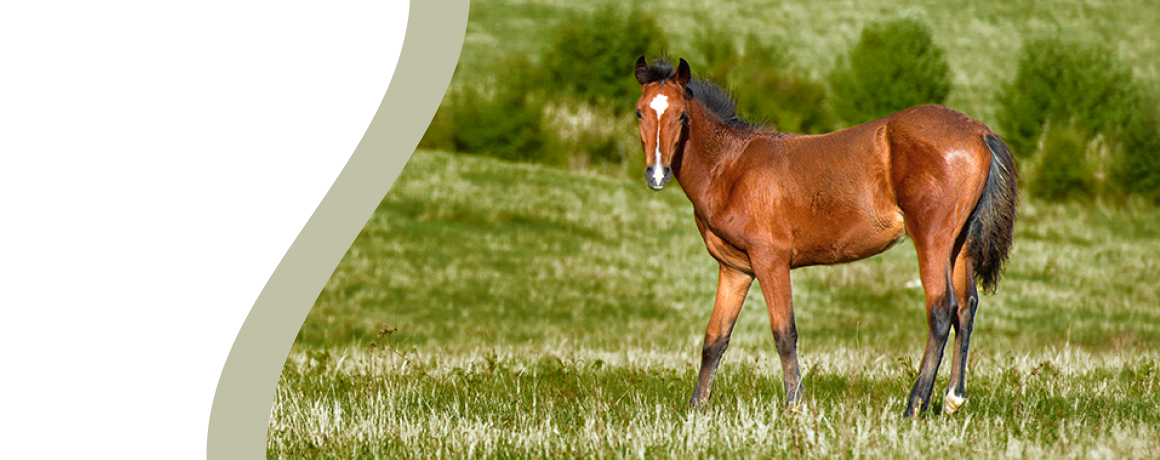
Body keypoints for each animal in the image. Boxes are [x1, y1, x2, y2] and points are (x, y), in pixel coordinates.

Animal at [632, 56, 1017, 418]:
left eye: (682, 115)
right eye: (639, 112)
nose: (657, 174)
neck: (730, 167)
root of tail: (979, 132)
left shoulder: (770, 260)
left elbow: (784, 332)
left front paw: (794, 405)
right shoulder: (735, 269)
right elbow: (715, 338)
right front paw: (697, 407)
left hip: (931, 238)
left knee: (941, 309)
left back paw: (914, 405)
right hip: (959, 244)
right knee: (966, 306)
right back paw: (953, 398)